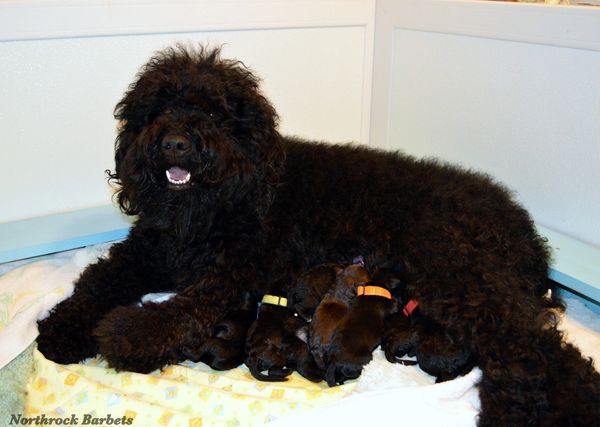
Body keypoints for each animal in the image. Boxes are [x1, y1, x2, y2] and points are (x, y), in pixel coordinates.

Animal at [35, 45, 596, 426]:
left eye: (213, 111)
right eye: (157, 109)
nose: (174, 142)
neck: (214, 206)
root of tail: (522, 226)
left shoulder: (231, 275)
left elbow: (180, 312)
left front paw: (127, 335)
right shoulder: (147, 253)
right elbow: (97, 280)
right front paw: (64, 327)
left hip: (463, 279)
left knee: (530, 352)